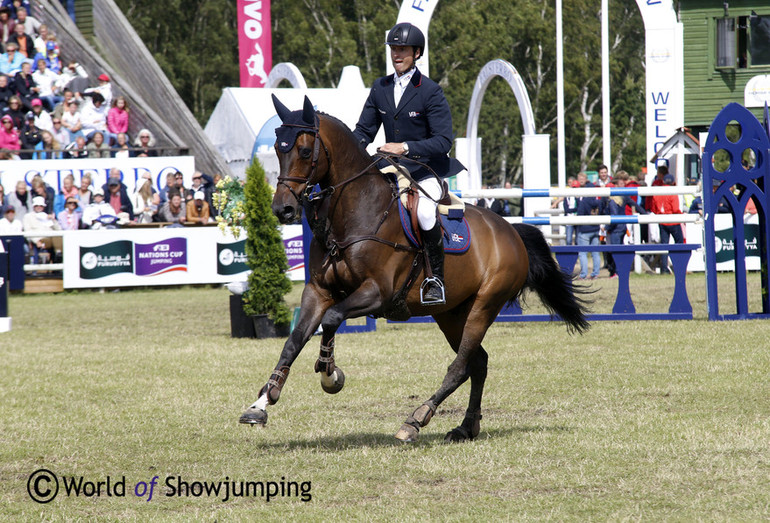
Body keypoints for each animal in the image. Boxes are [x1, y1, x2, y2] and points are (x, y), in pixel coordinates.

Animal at [240, 96, 588, 444]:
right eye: (277, 148)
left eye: (303, 151)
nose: (283, 209)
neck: (353, 213)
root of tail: (511, 231)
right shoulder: (318, 291)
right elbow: (294, 341)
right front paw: (262, 403)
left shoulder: (377, 293)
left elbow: (332, 319)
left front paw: (330, 374)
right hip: (451, 313)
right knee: (478, 363)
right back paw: (466, 427)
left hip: (483, 306)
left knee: (460, 365)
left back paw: (416, 419)